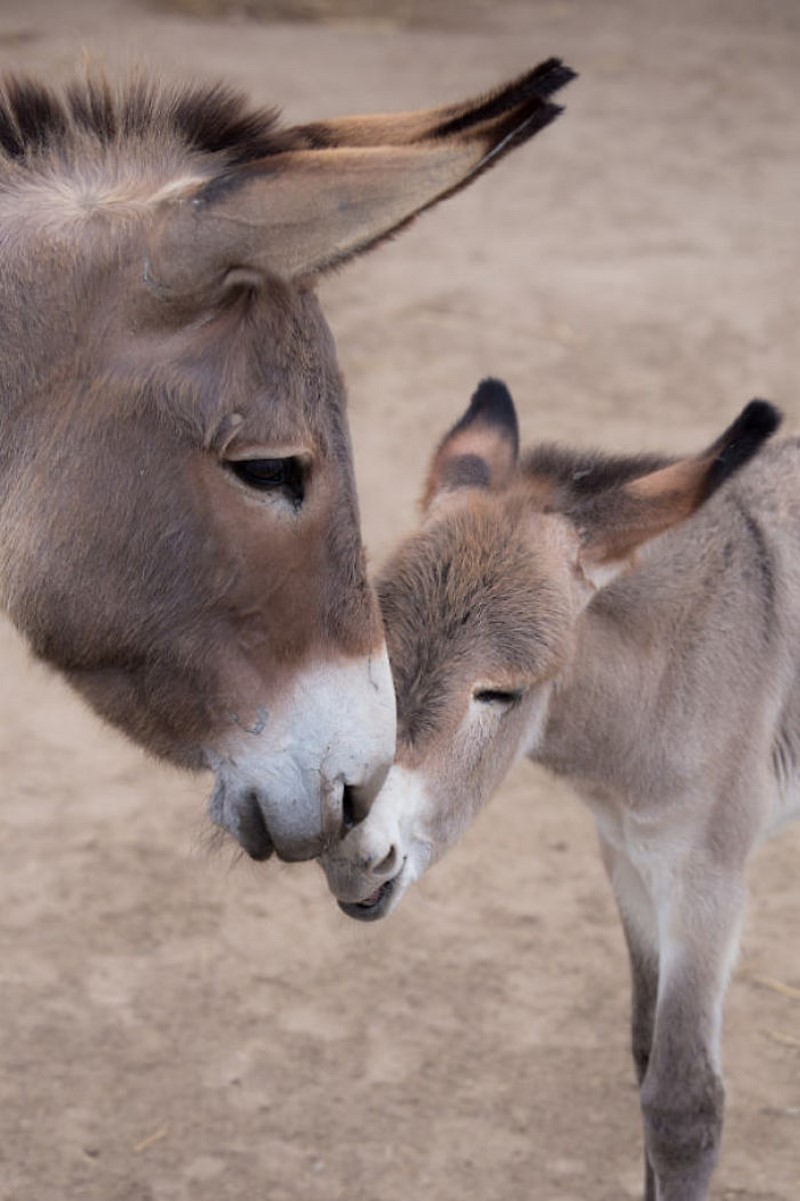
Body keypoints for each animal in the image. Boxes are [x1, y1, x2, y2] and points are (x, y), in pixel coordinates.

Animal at [321, 381, 792, 1201]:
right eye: (376, 656)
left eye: (501, 693)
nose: (352, 853)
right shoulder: (627, 856)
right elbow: (643, 1052)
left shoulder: (707, 881)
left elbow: (684, 1105)